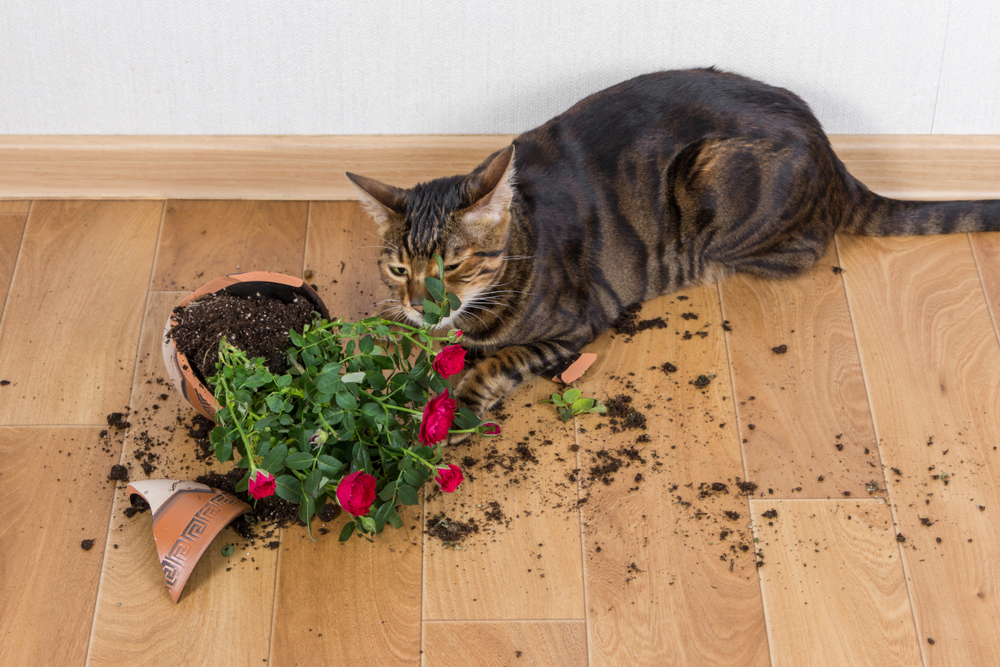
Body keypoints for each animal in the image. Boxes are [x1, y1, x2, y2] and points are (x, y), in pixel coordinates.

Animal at [348, 69, 1000, 444]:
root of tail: (834, 156)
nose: (423, 305)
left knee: (807, 248)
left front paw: (457, 409)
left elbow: (498, 362)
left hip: (716, 183)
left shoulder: (575, 326)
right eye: (400, 269)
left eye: (455, 264)